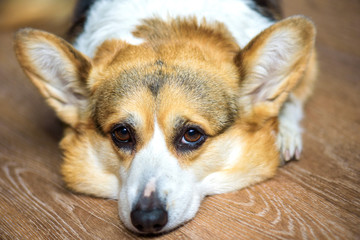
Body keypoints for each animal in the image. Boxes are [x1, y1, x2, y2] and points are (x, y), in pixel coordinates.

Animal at [15, 0, 316, 234]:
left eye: (192, 134)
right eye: (122, 133)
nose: (147, 219)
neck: (164, 27)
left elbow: (293, 95)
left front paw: (285, 130)